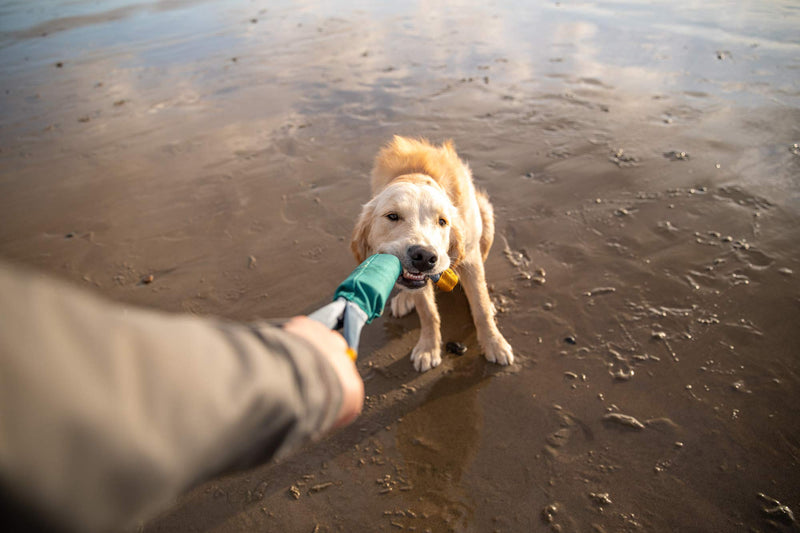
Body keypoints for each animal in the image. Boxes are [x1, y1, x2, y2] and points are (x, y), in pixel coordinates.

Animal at [350, 136, 512, 370]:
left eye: (442, 221)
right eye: (392, 216)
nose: (425, 257)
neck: (416, 173)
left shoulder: (471, 259)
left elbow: (480, 305)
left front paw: (494, 343)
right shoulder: (417, 283)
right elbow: (428, 313)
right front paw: (428, 348)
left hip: (486, 214)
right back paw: (404, 298)